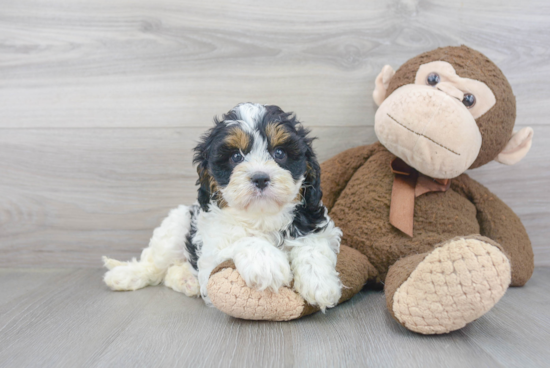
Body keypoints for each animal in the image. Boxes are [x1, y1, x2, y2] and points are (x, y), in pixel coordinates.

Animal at [103, 103, 342, 310]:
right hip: (176, 227)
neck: (261, 216)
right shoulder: (210, 254)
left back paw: (186, 280)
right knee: (155, 265)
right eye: (236, 156)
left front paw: (320, 283)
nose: (260, 178)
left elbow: (313, 244)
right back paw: (125, 276)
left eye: (280, 153)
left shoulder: (317, 225)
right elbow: (241, 241)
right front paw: (267, 262)